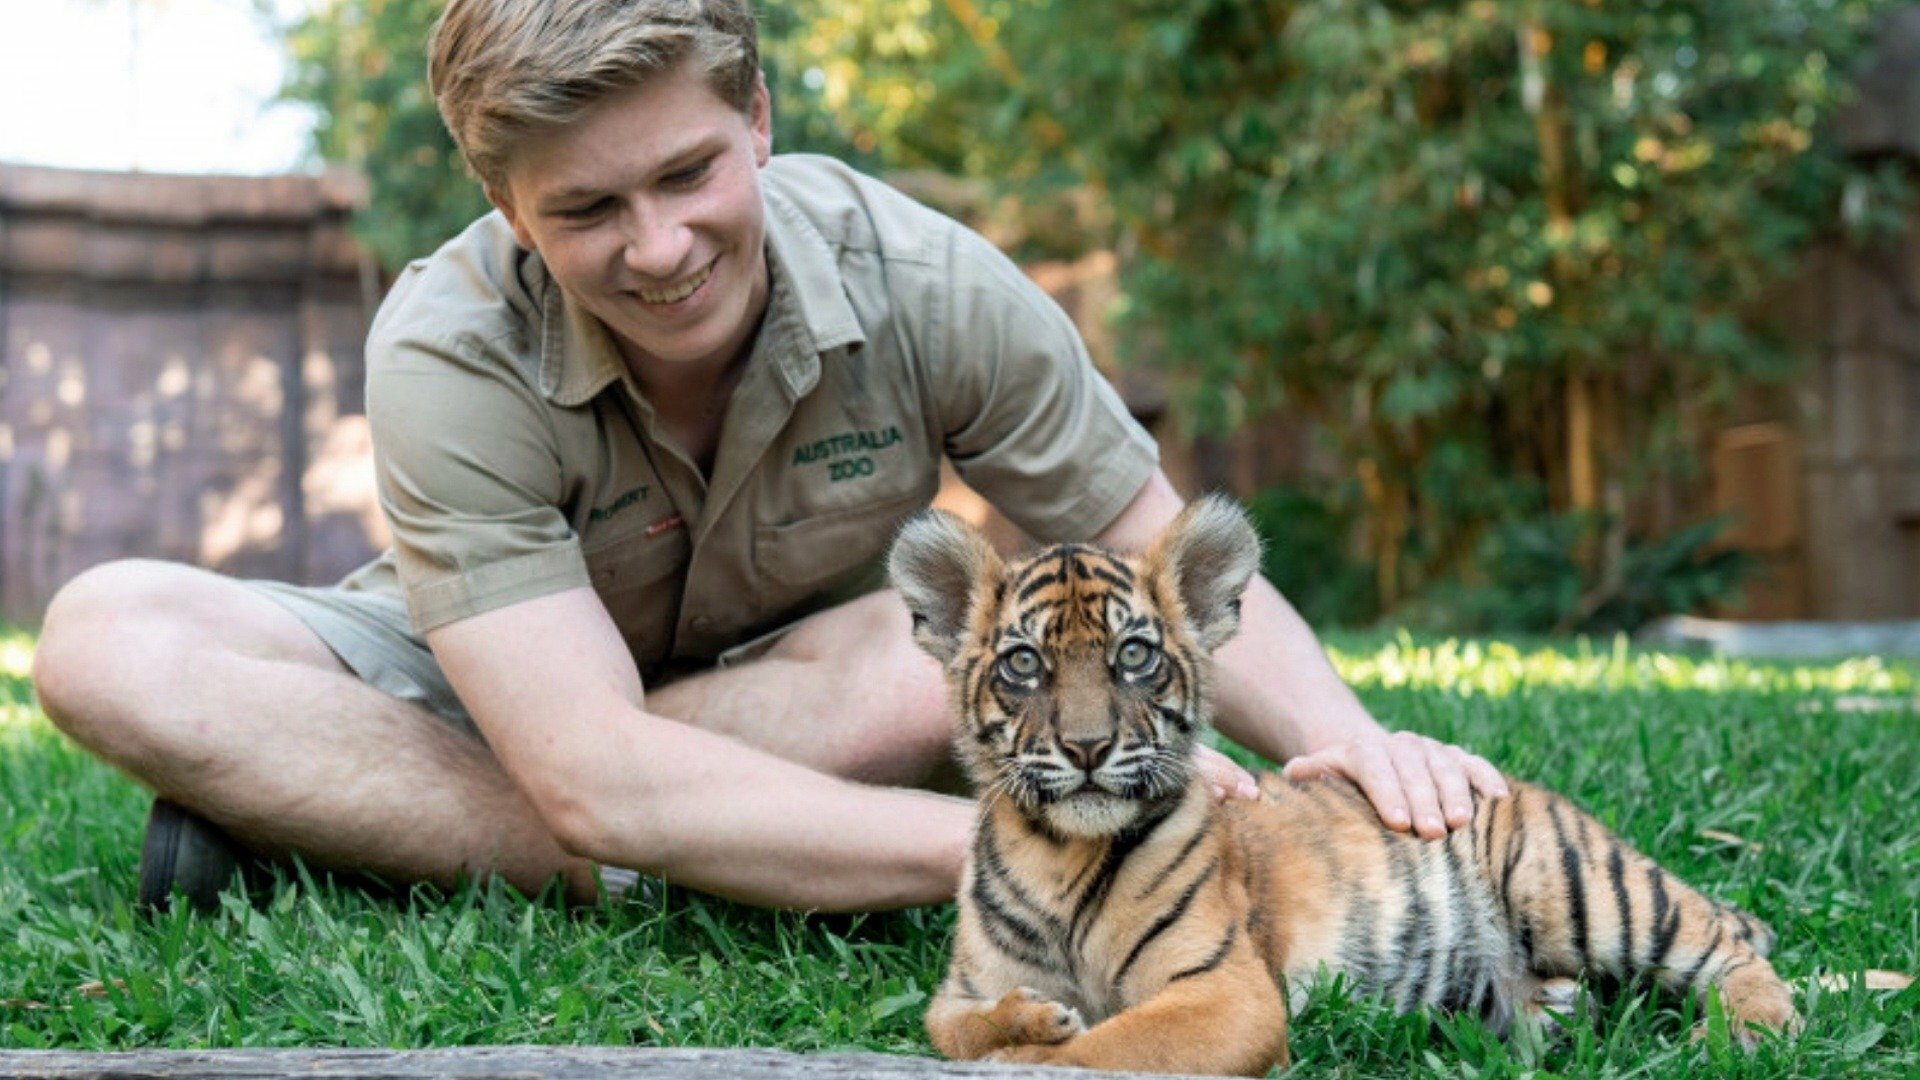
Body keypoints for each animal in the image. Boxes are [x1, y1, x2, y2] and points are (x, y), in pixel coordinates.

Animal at [886, 495, 1798, 1076]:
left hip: (1578, 886)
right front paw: (1031, 1016)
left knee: (1734, 951)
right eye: (1024, 664)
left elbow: (1095, 1052)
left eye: (1133, 656)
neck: (1060, 854)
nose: (1085, 747)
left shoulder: (1224, 994)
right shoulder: (958, 992)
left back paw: (1746, 1037)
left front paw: (1034, 1040)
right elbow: (960, 1031)